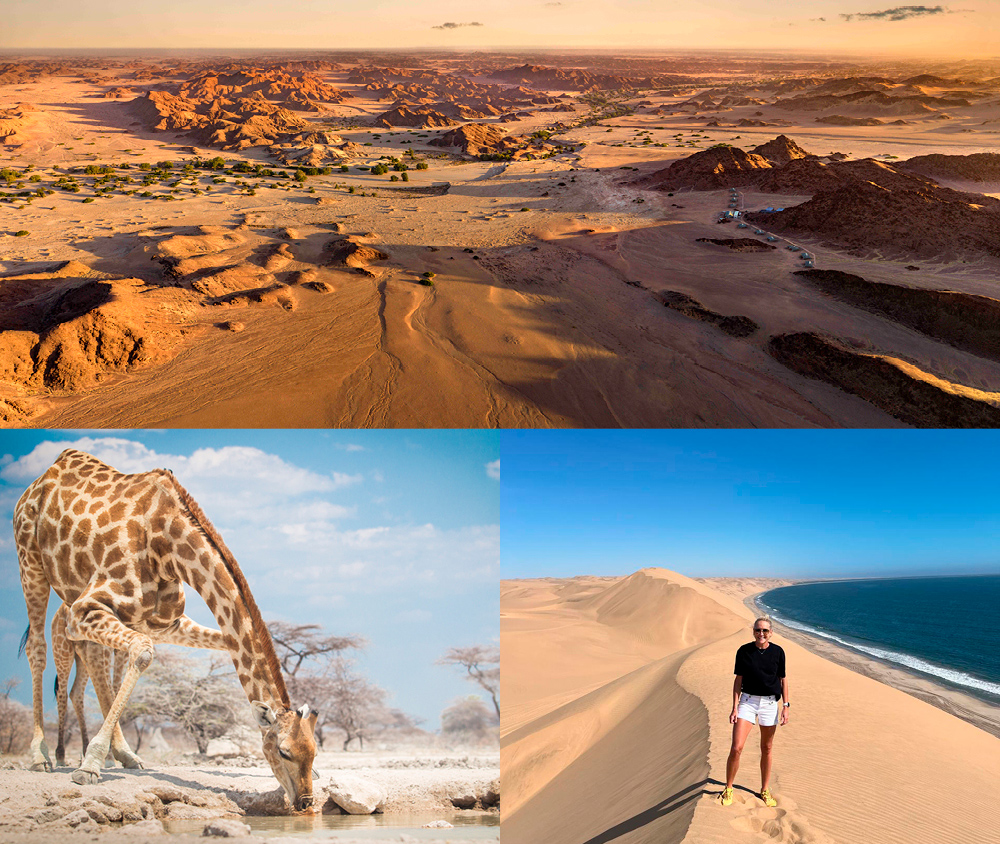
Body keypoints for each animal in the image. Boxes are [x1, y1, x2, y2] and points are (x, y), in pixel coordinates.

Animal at [15, 448, 319, 811]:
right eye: (284, 752)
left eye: (314, 753)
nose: (306, 802)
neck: (168, 546)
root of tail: (45, 474)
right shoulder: (83, 610)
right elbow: (143, 654)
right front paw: (89, 765)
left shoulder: (163, 623)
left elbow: (222, 644)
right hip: (30, 561)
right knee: (37, 648)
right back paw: (43, 756)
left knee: (93, 663)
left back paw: (123, 755)